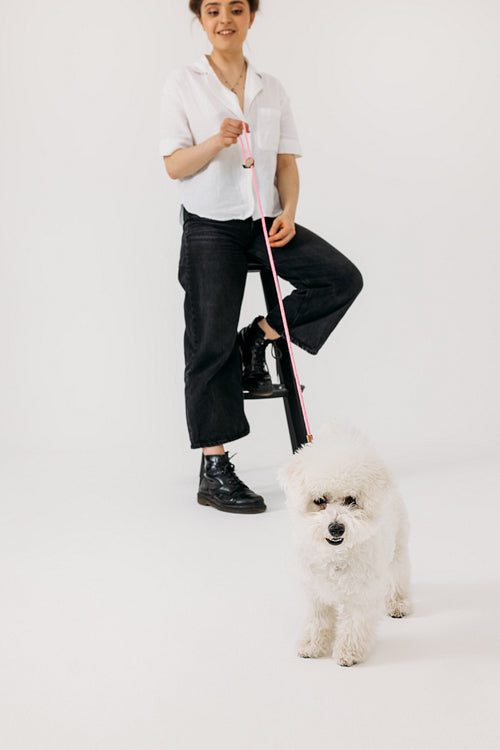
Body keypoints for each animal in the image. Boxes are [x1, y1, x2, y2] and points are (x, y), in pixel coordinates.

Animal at [280, 424, 412, 668]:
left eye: (351, 500)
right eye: (319, 500)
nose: (336, 528)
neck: (335, 555)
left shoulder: (361, 594)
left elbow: (355, 624)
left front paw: (348, 652)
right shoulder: (314, 593)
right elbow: (317, 620)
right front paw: (311, 645)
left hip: (398, 545)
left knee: (398, 575)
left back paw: (398, 603)